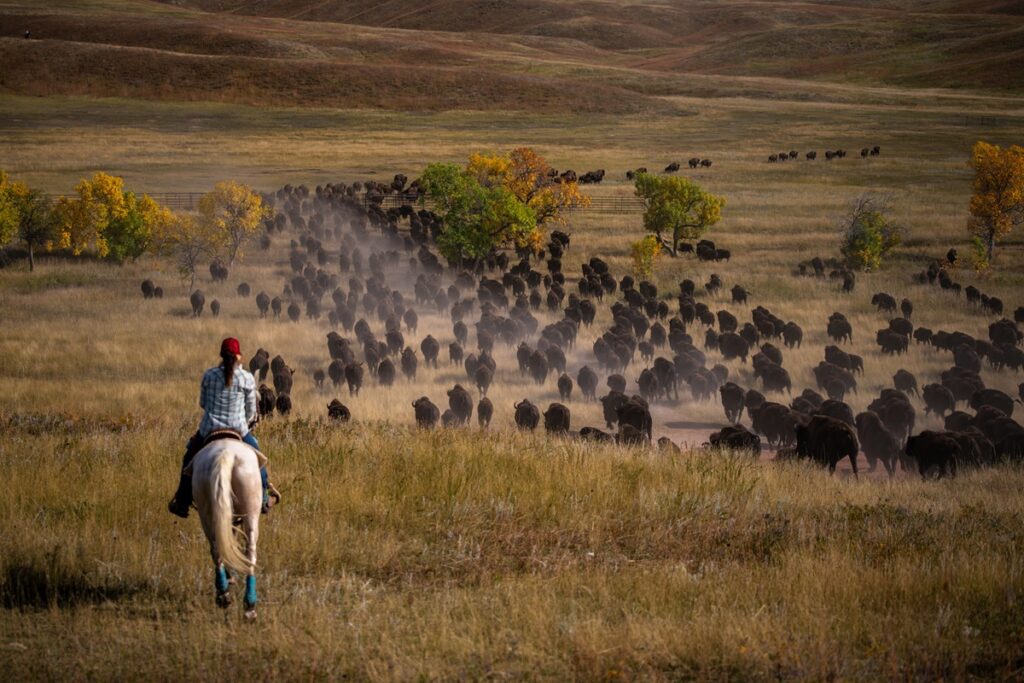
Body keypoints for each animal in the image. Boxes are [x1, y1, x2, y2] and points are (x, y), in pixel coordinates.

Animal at [187, 438, 264, 618]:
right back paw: (247, 605)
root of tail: (225, 453)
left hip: (207, 512)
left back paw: (226, 594)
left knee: (218, 548)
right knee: (249, 553)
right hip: (250, 512)